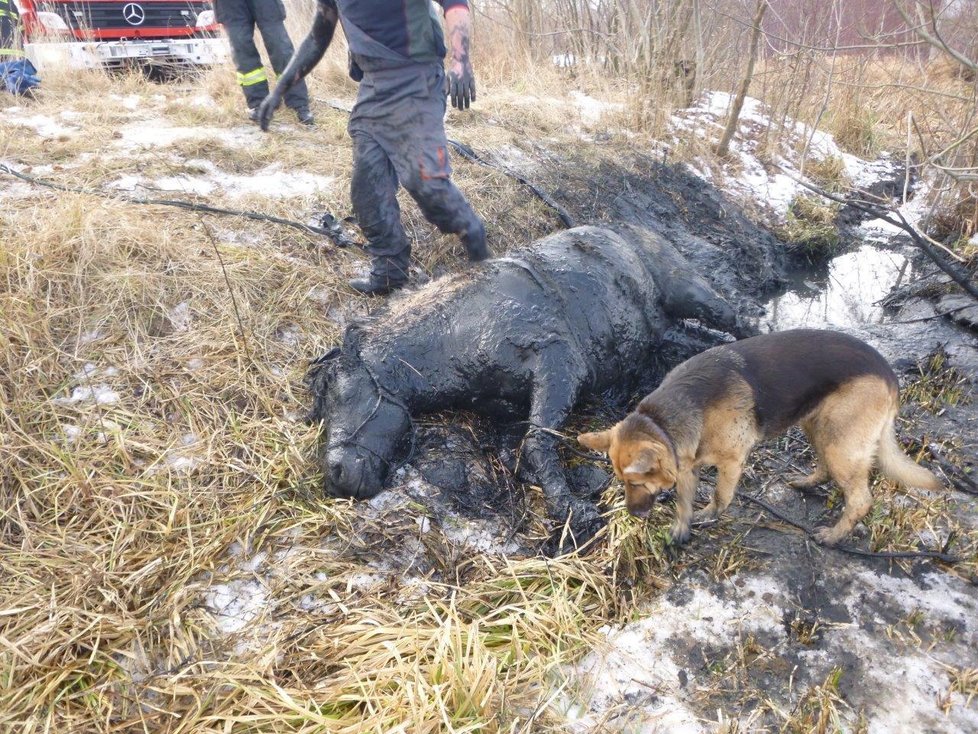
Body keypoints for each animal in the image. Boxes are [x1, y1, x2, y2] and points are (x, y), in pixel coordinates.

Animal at [308, 227, 744, 548]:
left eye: (338, 391)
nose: (335, 474)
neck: (456, 329)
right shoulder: (508, 409)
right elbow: (521, 448)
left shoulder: (558, 362)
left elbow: (537, 442)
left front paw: (573, 510)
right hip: (667, 330)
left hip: (691, 293)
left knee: (737, 321)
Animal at [580, 332, 936, 548]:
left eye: (636, 482)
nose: (633, 515)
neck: (662, 421)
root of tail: (889, 374)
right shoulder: (687, 464)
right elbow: (683, 500)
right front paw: (682, 527)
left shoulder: (731, 462)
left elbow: (720, 495)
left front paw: (709, 515)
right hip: (816, 425)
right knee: (824, 465)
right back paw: (808, 482)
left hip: (840, 440)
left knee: (860, 499)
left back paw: (834, 536)